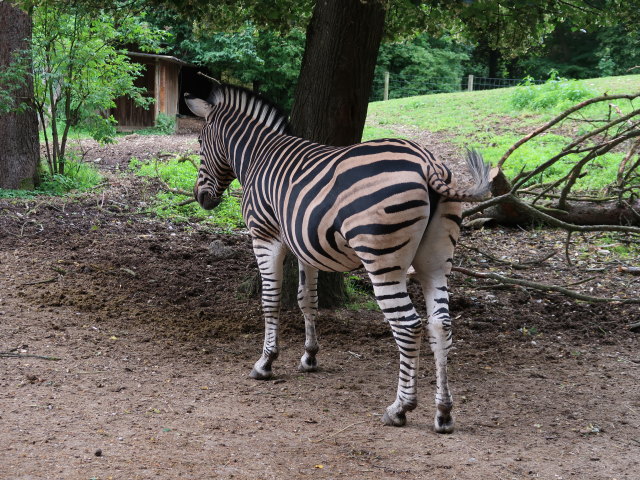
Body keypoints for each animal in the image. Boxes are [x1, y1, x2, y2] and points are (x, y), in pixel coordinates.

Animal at [185, 83, 492, 433]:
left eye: (199, 144)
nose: (201, 198)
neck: (257, 156)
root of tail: (426, 162)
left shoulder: (265, 236)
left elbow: (270, 300)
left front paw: (266, 362)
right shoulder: (303, 245)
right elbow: (307, 299)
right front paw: (309, 357)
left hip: (382, 259)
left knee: (408, 325)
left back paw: (400, 408)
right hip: (436, 260)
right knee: (440, 325)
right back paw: (443, 413)